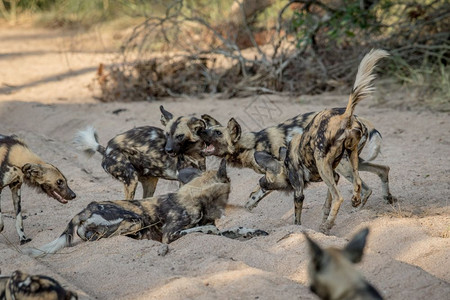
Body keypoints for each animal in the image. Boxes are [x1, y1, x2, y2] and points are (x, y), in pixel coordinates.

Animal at [25, 161, 268, 256]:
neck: (197, 198)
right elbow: (206, 229)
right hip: (135, 221)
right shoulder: (170, 234)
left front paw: (253, 232)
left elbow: (233, 230)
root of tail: (86, 208)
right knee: (105, 238)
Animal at [74, 106, 207, 200]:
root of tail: (106, 149)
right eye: (167, 134)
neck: (194, 153)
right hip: (131, 179)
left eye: (180, 136)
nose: (168, 150)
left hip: (150, 182)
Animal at [253, 49, 390, 233]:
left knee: (340, 197)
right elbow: (326, 204)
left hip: (326, 164)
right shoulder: (334, 176)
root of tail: (345, 116)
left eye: (266, 175)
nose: (260, 182)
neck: (286, 161)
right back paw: (358, 204)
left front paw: (302, 229)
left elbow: (297, 218)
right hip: (350, 158)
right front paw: (322, 223)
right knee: (360, 184)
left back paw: (329, 226)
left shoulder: (299, 189)